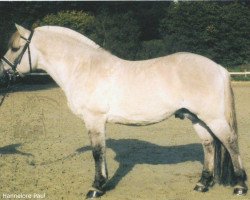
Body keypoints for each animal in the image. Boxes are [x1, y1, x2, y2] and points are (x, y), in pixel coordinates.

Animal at [0, 24, 246, 198]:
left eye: (15, 48)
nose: (3, 75)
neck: (83, 68)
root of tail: (218, 68)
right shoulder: (97, 122)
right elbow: (100, 151)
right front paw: (101, 184)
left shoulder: (94, 120)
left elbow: (97, 152)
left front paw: (96, 188)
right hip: (197, 118)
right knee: (209, 145)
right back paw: (202, 184)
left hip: (213, 118)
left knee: (230, 143)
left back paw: (240, 186)